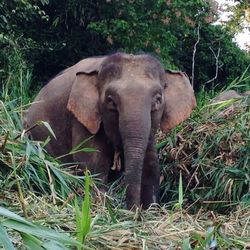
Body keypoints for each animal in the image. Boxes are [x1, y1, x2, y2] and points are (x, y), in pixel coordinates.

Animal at [25, 52, 197, 209]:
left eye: (158, 100)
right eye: (110, 100)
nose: (133, 212)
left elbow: (151, 164)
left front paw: (151, 211)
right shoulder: (82, 118)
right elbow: (92, 164)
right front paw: (103, 207)